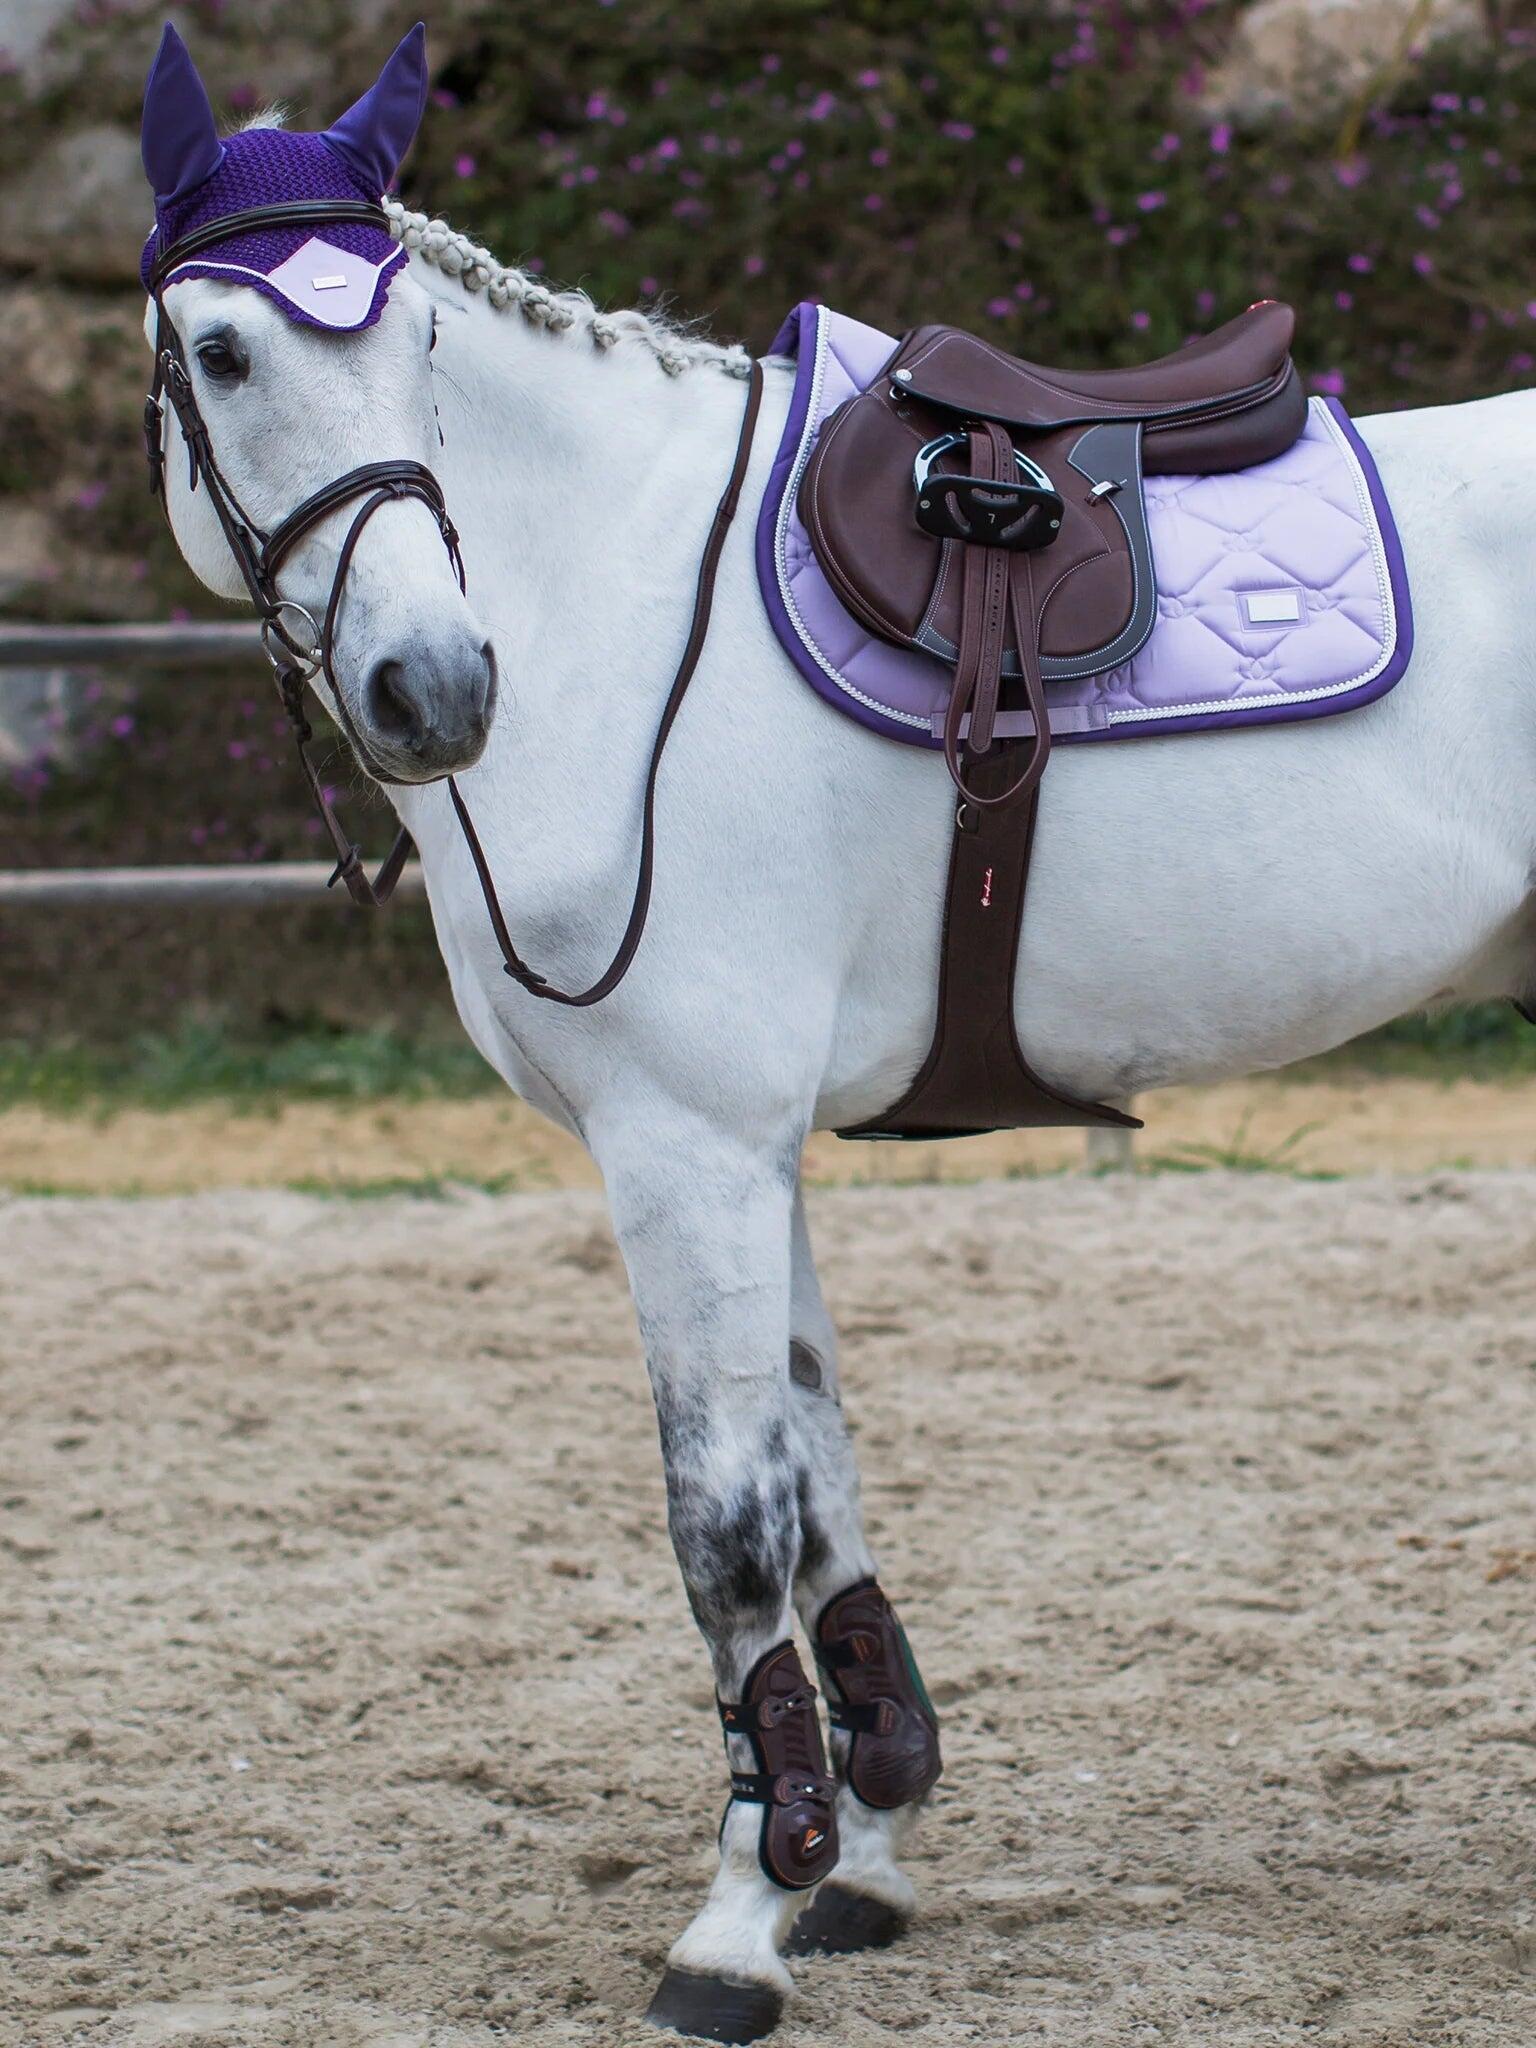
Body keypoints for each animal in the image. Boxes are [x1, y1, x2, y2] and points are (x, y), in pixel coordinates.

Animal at [137, 24, 1536, 2043]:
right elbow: (816, 1480)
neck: (629, 616)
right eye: (229, 350)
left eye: (413, 353)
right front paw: (858, 1847)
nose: (436, 685)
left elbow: (726, 1524)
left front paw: (739, 1912)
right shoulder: (750, 1151)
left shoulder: (687, 1145)